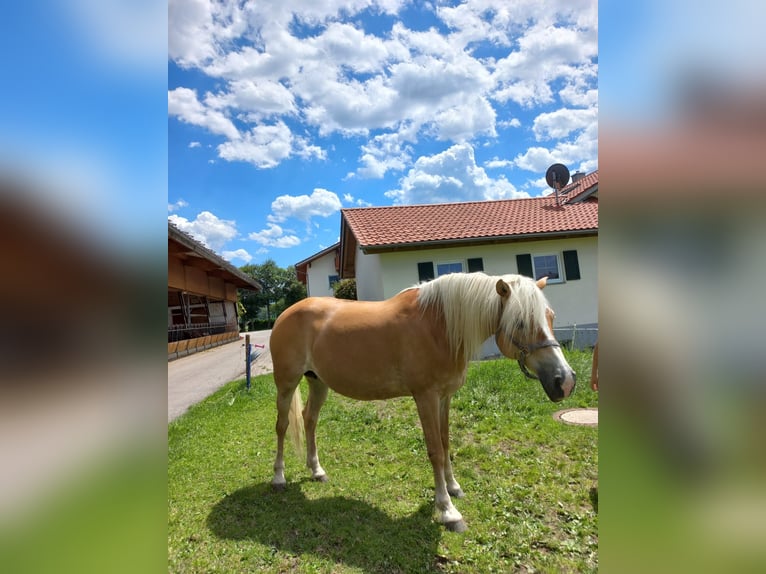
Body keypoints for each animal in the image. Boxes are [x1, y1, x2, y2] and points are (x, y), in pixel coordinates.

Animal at [270, 272, 576, 532]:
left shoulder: (444, 397)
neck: (440, 326)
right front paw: (448, 510)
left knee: (309, 419)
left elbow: (446, 442)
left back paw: (316, 471)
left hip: (318, 382)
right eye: (521, 322)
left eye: (550, 316)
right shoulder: (425, 397)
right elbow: (435, 451)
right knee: (282, 425)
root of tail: (285, 314)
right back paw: (278, 478)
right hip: (286, 384)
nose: (566, 380)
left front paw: (453, 487)